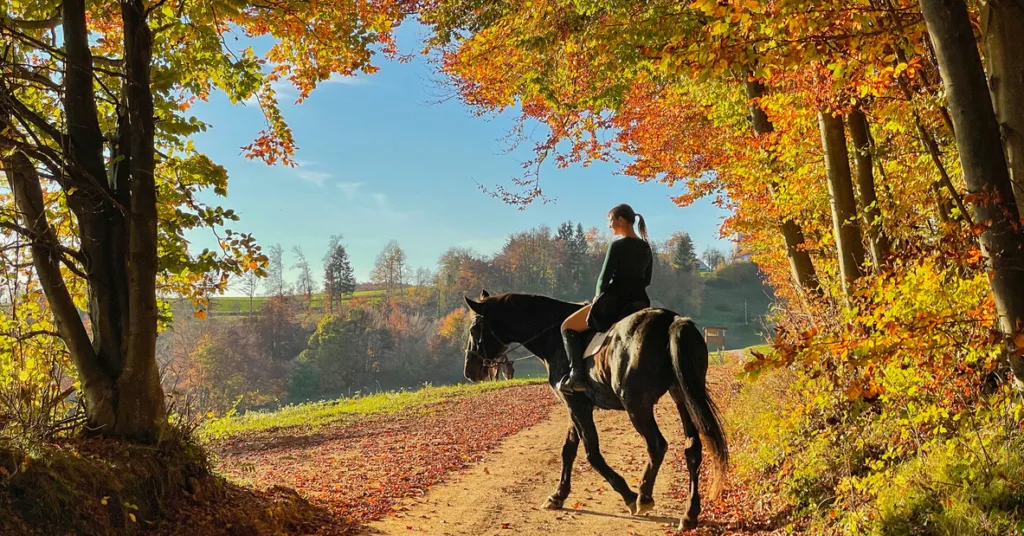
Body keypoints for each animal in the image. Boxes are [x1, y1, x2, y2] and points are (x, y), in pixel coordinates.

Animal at [462, 290, 728, 530]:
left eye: (474, 330)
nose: (470, 371)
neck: (552, 338)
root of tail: (671, 321)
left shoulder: (576, 404)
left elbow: (592, 453)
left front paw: (628, 495)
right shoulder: (576, 404)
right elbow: (569, 449)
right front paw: (558, 495)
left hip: (637, 405)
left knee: (657, 445)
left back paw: (643, 497)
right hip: (682, 397)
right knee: (692, 448)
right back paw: (689, 515)